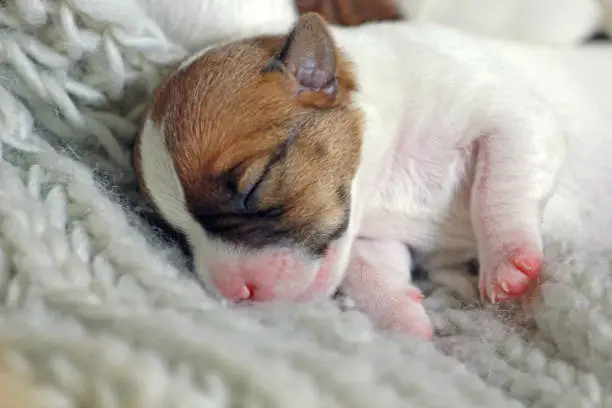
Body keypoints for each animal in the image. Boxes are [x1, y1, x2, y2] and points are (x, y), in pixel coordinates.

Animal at [134, 12, 612, 338]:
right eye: (175, 234)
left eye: (254, 186)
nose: (234, 293)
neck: (384, 180)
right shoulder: (369, 236)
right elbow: (368, 269)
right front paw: (402, 316)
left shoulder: (510, 116)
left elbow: (500, 186)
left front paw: (508, 262)